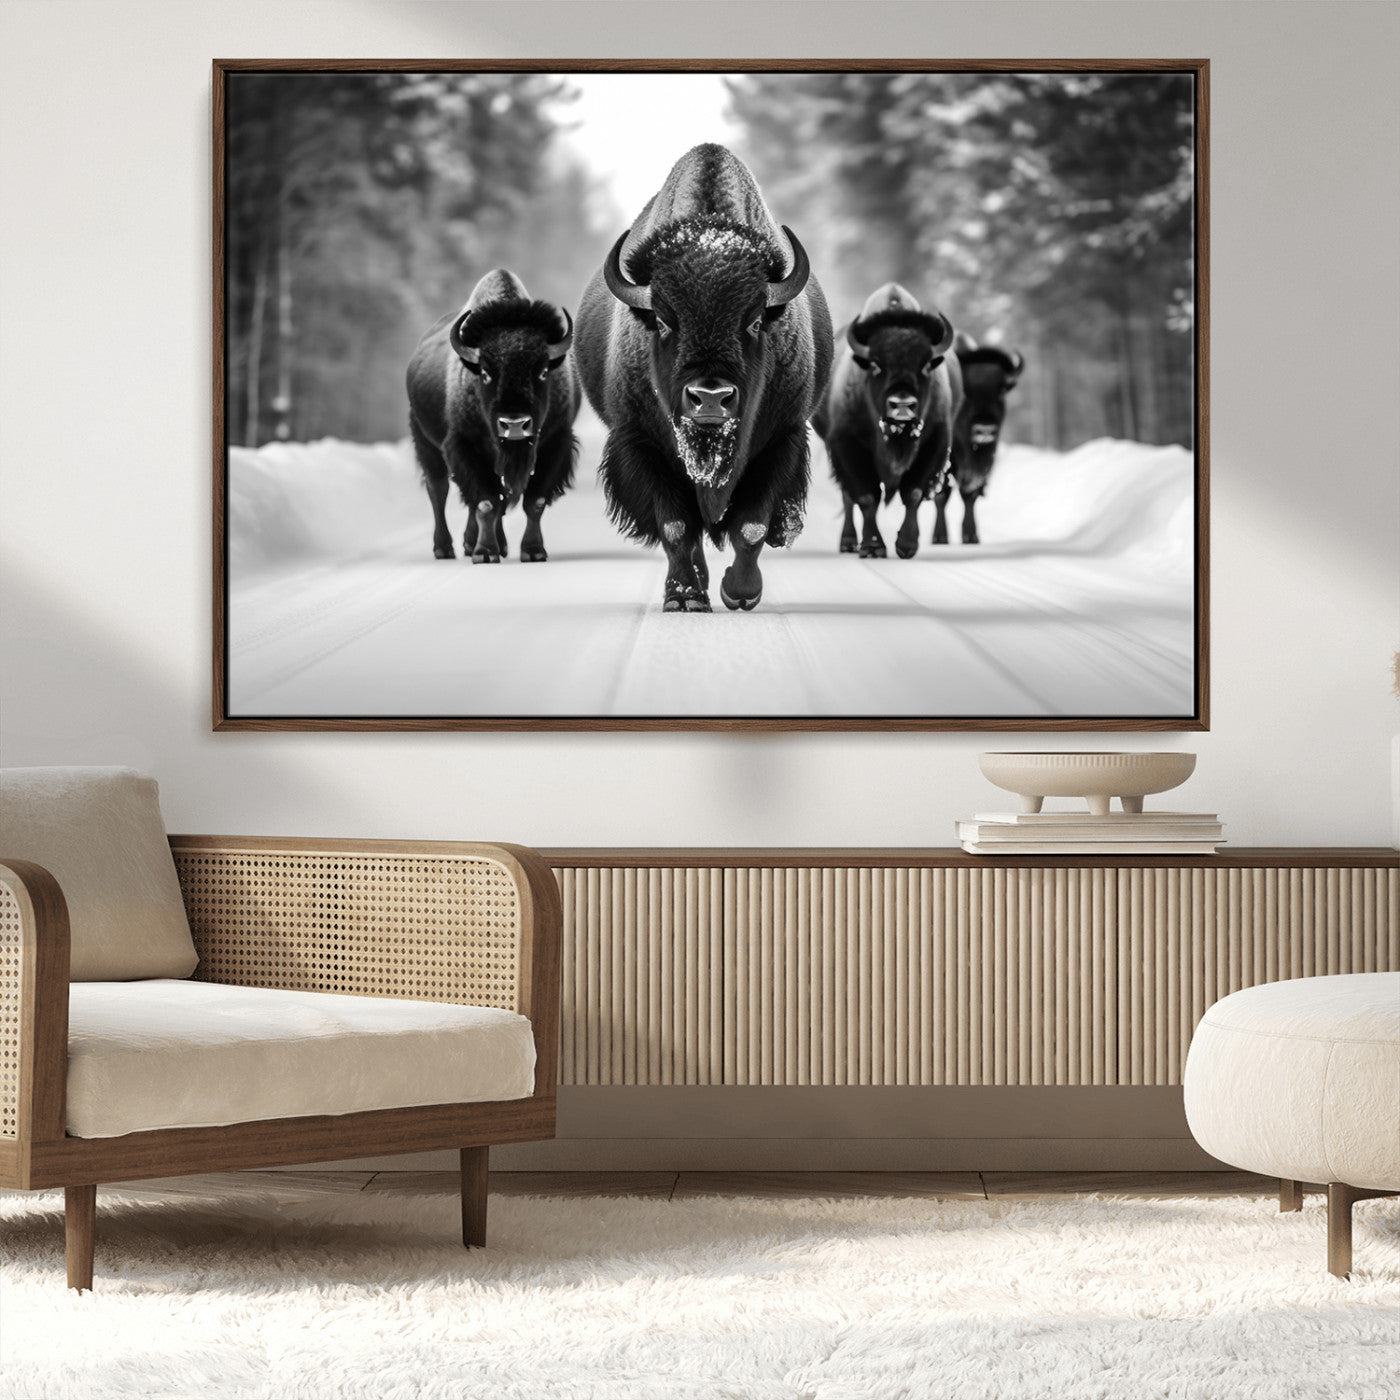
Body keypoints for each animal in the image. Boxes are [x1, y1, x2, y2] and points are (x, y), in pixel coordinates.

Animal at [407, 270, 580, 563]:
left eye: (543, 371)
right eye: (486, 373)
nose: (514, 424)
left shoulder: (554, 444)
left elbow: (534, 501)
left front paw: (532, 551)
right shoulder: (464, 446)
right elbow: (486, 502)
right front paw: (485, 553)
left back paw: (482, 544)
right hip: (427, 445)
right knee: (438, 491)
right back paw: (445, 548)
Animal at [574, 143, 833, 611]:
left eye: (754, 321)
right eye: (662, 321)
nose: (710, 398)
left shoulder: (782, 438)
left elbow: (751, 526)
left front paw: (741, 593)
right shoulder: (640, 442)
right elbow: (676, 526)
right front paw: (684, 598)